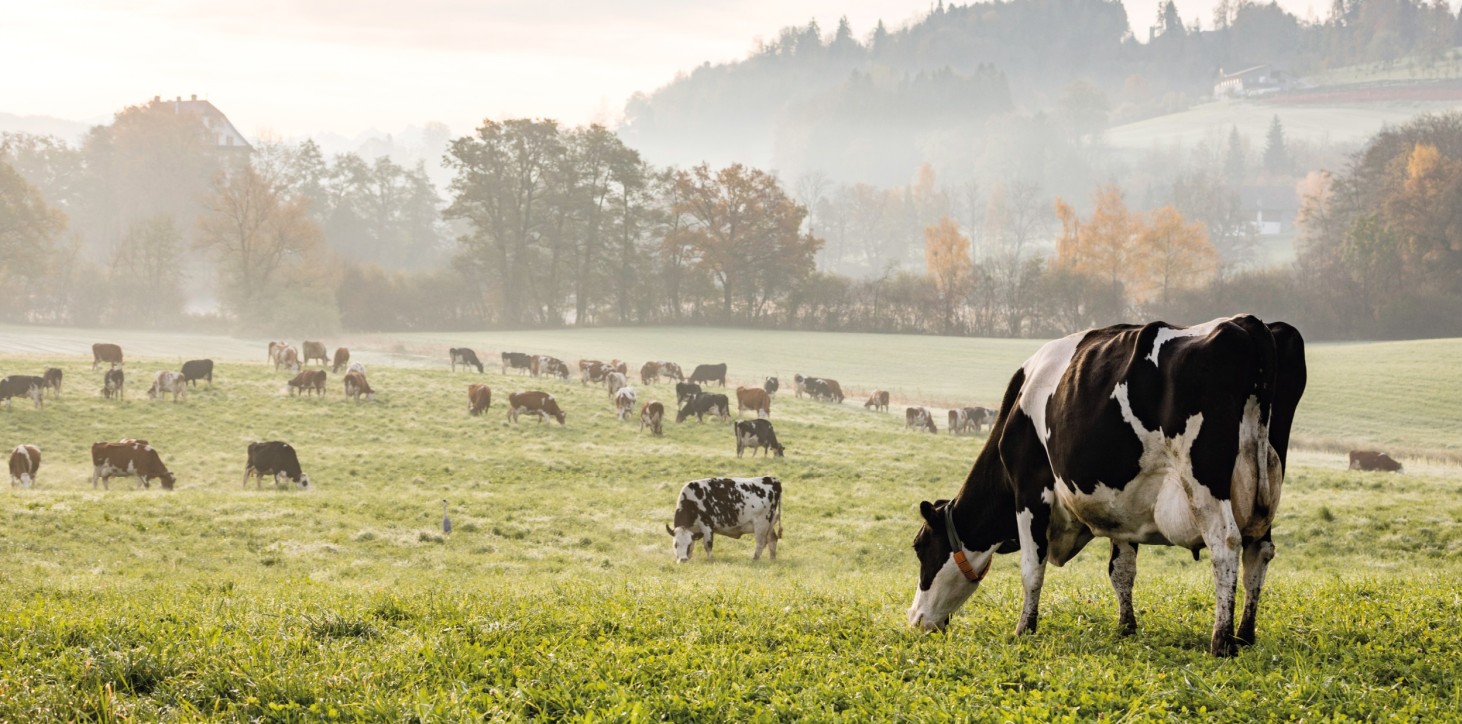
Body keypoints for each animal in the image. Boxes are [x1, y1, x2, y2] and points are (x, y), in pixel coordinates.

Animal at [907, 316, 1307, 658]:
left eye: (920, 546)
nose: (915, 619)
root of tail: (1248, 323)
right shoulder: (1124, 506)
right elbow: (1121, 570)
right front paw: (1126, 628)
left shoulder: (1030, 490)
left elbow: (1031, 568)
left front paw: (1024, 629)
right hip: (1266, 486)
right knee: (1259, 551)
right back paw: (1246, 634)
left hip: (1205, 480)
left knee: (1225, 544)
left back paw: (1221, 641)